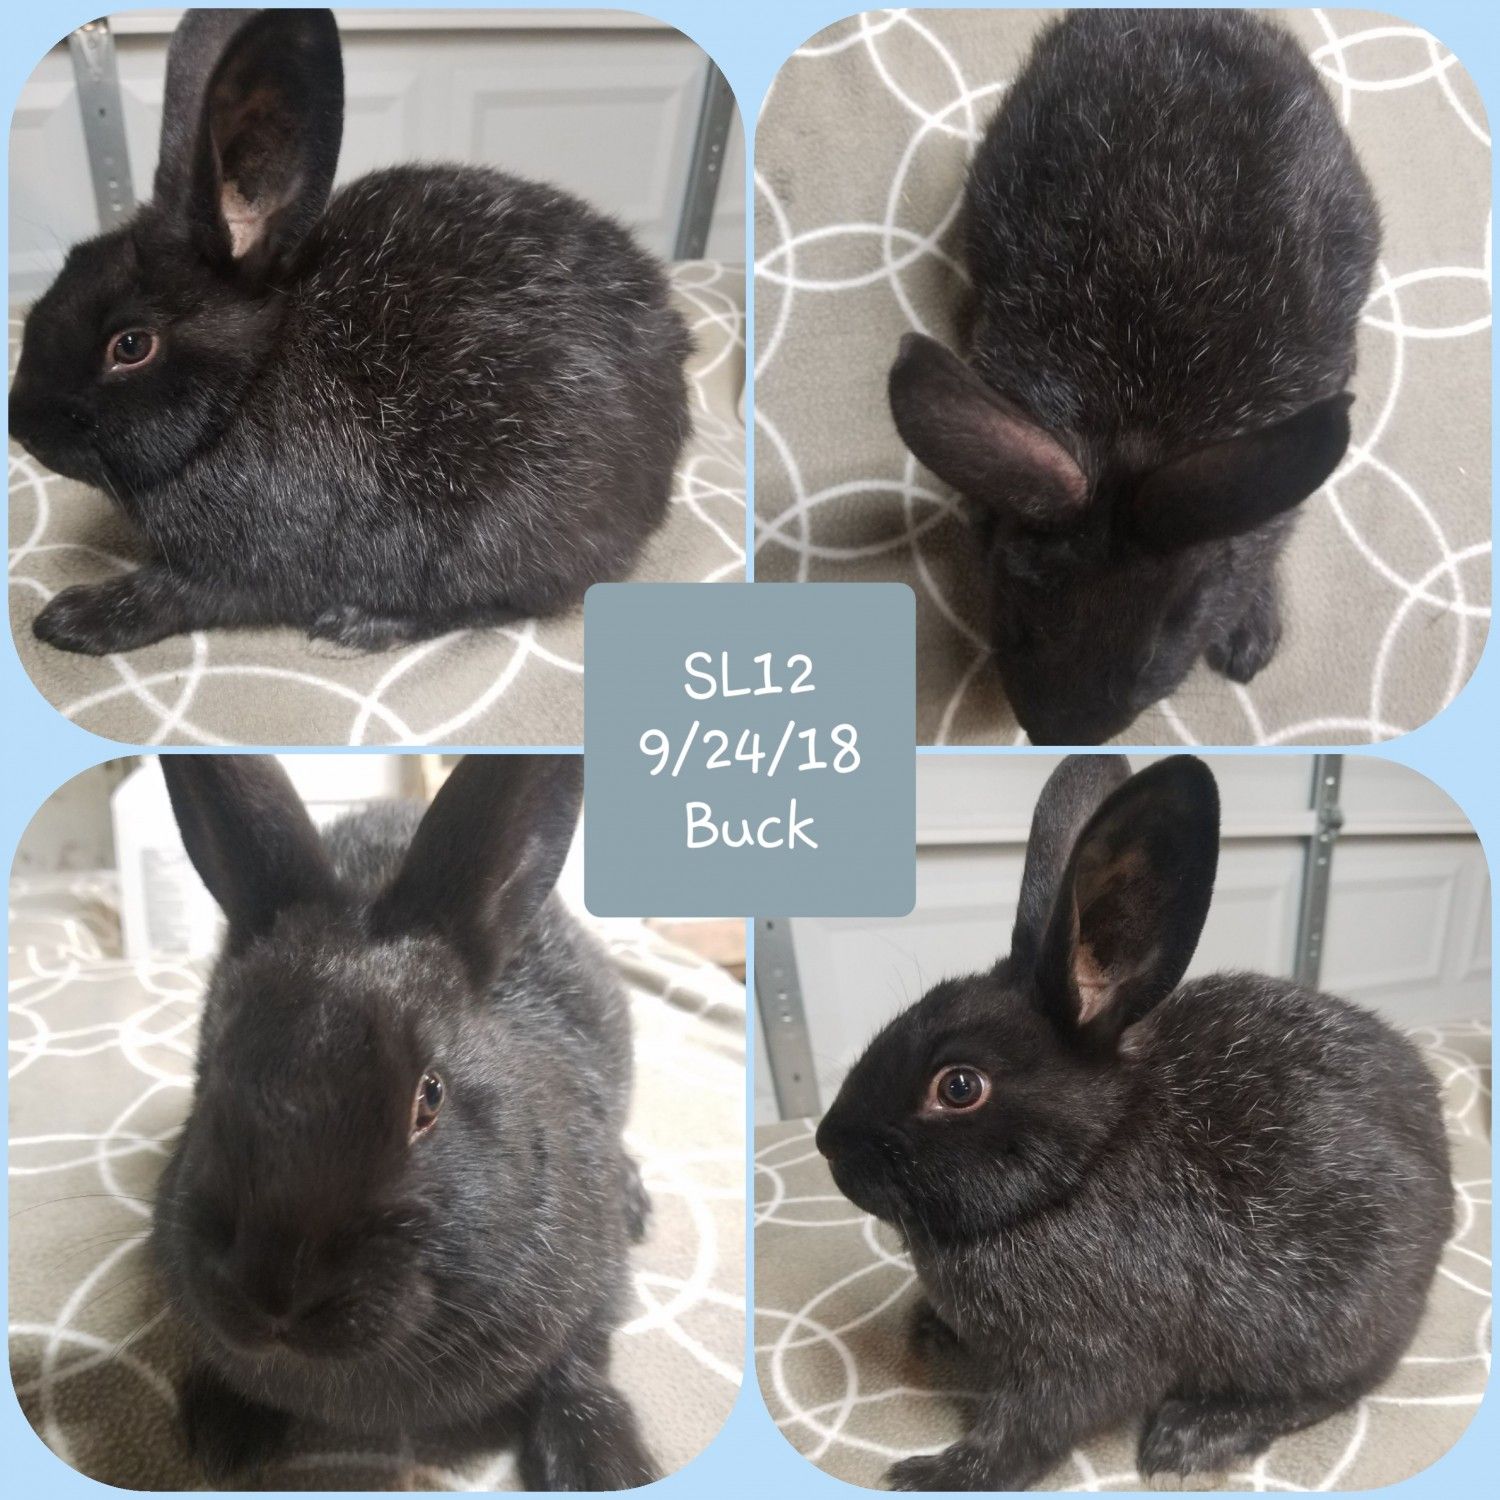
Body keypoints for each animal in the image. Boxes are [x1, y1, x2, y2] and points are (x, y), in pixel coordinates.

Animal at [8, 9, 691, 656]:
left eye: (130, 346)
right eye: (72, 261)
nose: (20, 423)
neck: (246, 388)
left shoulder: (245, 563)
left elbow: (170, 594)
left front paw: (70, 620)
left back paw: (364, 623)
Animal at [152, 753, 658, 1490]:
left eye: (431, 1096)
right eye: (215, 1064)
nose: (273, 1291)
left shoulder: (594, 1287)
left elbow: (581, 1365)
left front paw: (606, 1468)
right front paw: (227, 1431)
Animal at [816, 755, 1453, 1491]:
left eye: (960, 1086)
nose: (828, 1143)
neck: (1083, 1167)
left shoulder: (1085, 1357)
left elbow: (1030, 1429)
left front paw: (934, 1475)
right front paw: (929, 1329)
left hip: (1333, 1319)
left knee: (1339, 1385)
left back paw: (1195, 1436)